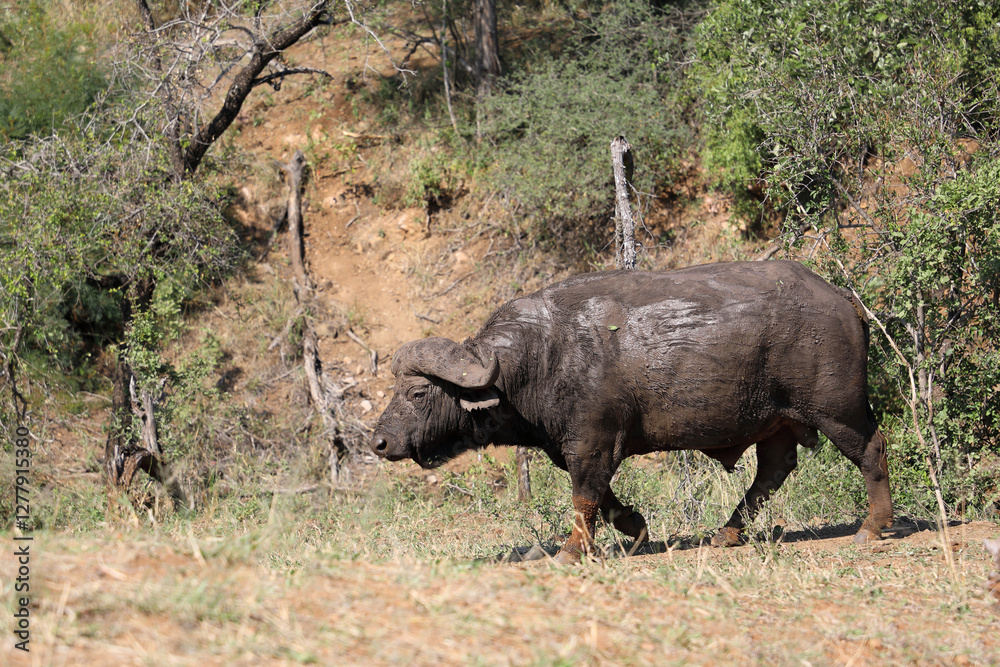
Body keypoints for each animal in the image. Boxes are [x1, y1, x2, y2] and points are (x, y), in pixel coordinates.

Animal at [371, 260, 893, 563]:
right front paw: (635, 528)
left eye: (417, 393)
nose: (379, 441)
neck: (539, 357)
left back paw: (873, 526)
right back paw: (728, 533)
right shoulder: (577, 447)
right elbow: (603, 498)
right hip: (777, 421)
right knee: (773, 470)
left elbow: (584, 496)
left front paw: (571, 551)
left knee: (871, 448)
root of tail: (842, 299)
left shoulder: (591, 442)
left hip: (836, 408)